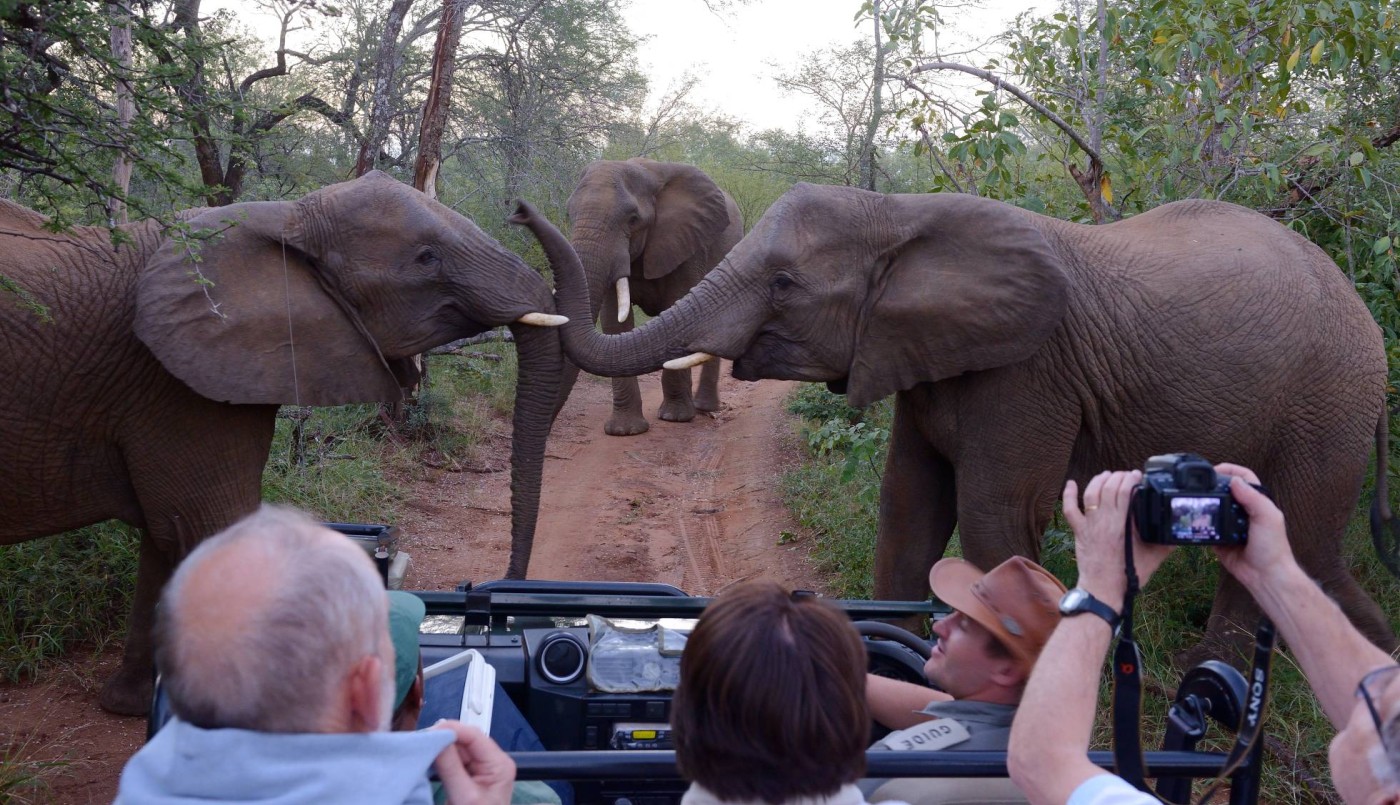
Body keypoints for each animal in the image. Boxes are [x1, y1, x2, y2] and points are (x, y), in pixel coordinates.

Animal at [0, 171, 566, 715]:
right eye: (426, 259)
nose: (493, 595)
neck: (285, 217)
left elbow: (168, 539)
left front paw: (133, 705)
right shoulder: (175, 384)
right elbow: (209, 527)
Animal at [565, 158, 743, 436]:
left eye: (633, 219)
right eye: (569, 214)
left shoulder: (688, 245)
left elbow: (676, 310)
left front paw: (675, 417)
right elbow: (614, 324)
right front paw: (624, 431)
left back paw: (704, 408)